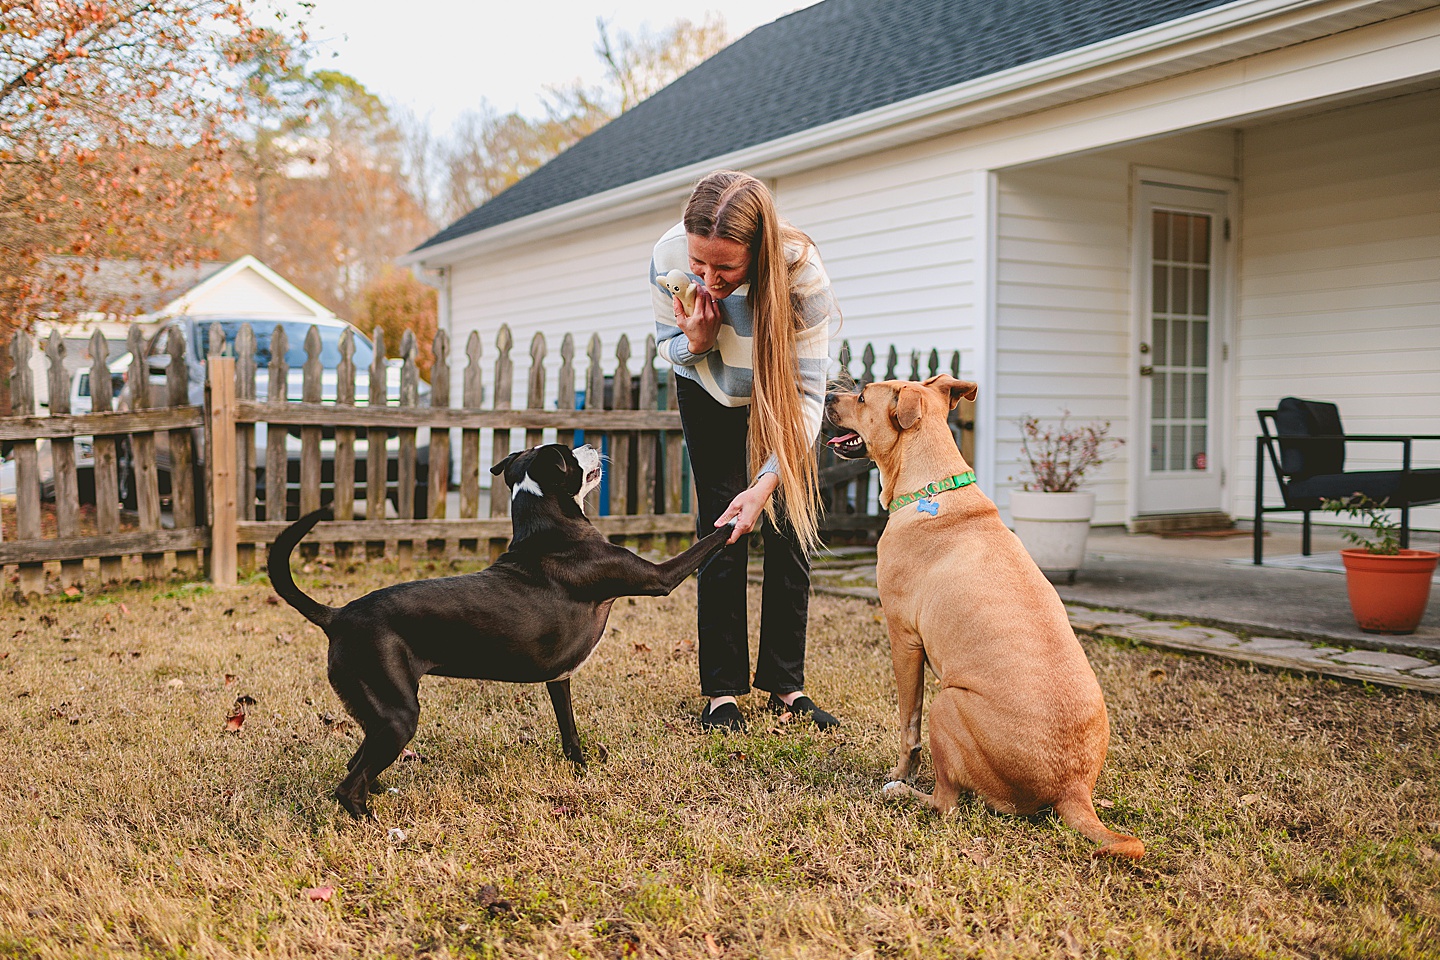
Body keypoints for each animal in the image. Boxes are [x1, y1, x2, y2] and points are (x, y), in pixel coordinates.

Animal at [270, 443, 737, 817]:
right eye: (570, 454)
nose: (590, 445)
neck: (552, 528)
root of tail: (337, 615)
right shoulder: (659, 578)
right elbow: (708, 541)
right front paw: (741, 513)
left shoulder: (558, 679)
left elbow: (569, 731)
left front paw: (581, 769)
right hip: (397, 715)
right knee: (349, 786)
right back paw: (375, 823)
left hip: (379, 716)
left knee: (356, 767)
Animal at [829, 374, 1140, 863]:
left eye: (861, 396)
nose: (825, 394)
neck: (932, 487)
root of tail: (1071, 788)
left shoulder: (903, 639)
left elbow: (907, 726)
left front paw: (900, 773)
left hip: (946, 703)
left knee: (946, 803)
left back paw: (904, 794)